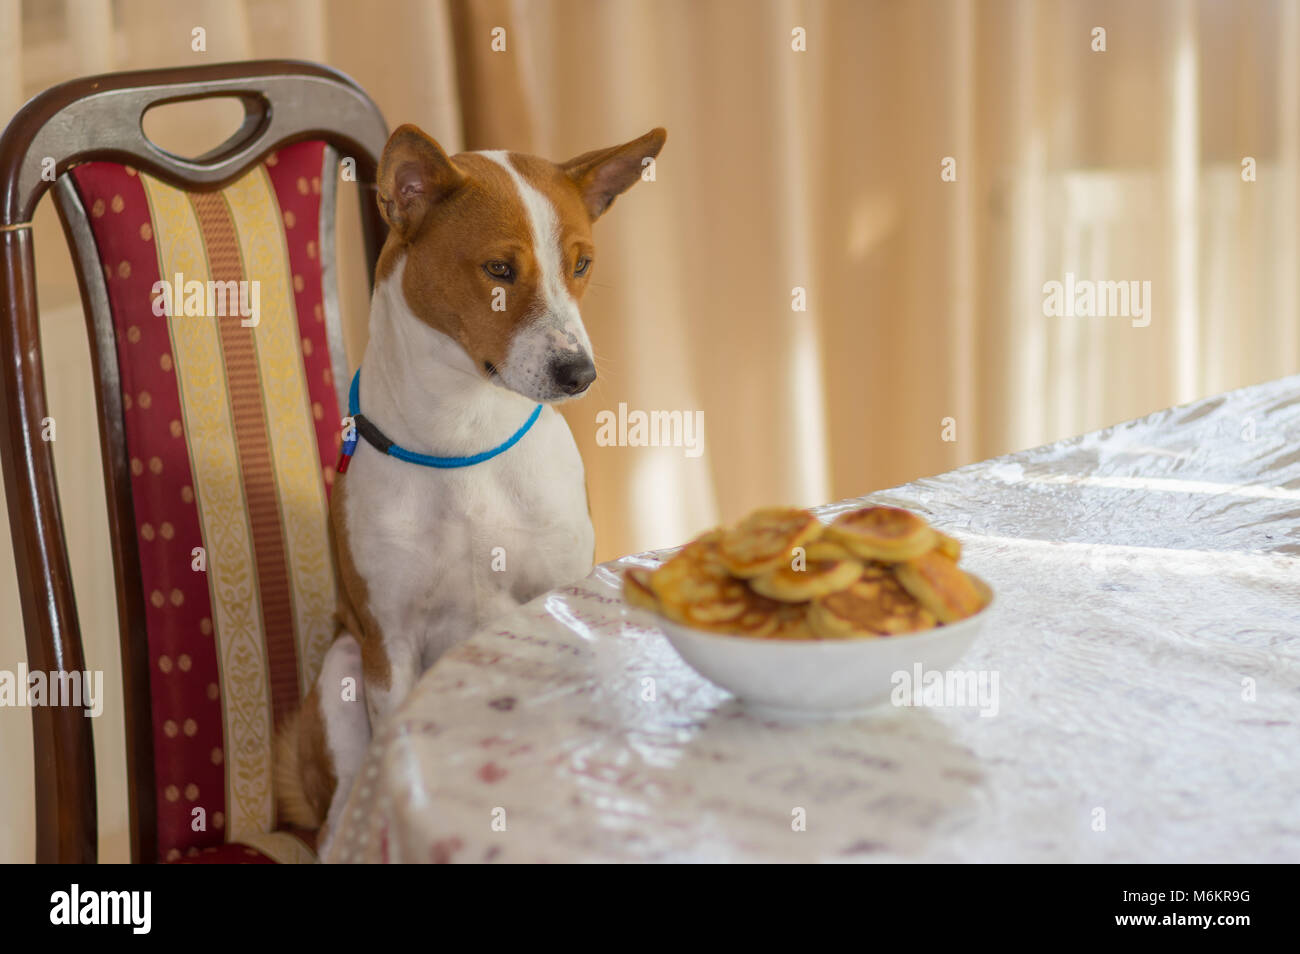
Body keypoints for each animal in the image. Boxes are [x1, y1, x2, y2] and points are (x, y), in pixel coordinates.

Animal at [273, 123, 660, 847]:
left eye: (581, 264)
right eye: (500, 270)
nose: (580, 373)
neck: (463, 440)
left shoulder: (557, 597)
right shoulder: (389, 643)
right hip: (341, 666)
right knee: (337, 812)